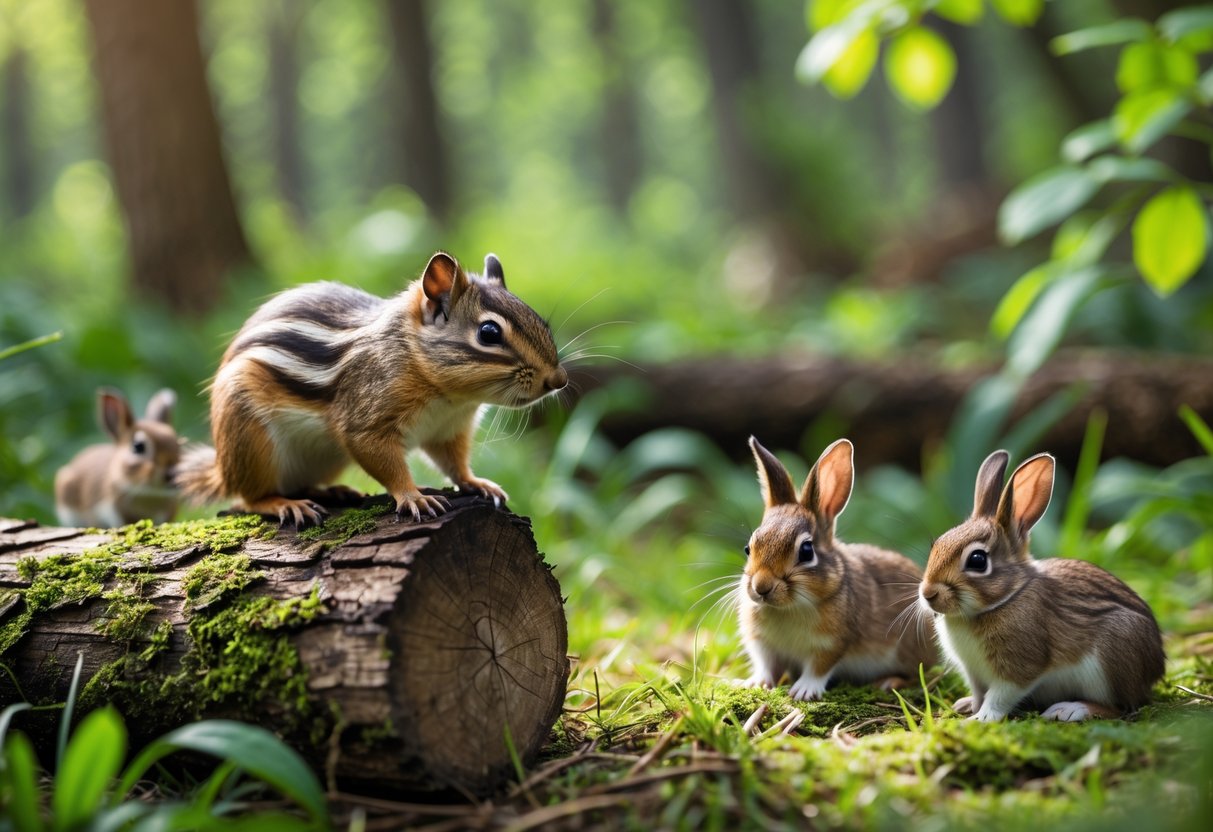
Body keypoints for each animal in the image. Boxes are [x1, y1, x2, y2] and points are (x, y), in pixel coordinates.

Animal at [177, 251, 567, 525]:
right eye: (489, 333)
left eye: (541, 321)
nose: (559, 380)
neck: (450, 398)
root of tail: (222, 466)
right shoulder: (366, 419)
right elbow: (384, 461)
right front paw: (413, 496)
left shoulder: (448, 430)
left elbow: (454, 463)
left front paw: (477, 482)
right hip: (250, 440)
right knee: (248, 497)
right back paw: (284, 504)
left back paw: (333, 491)